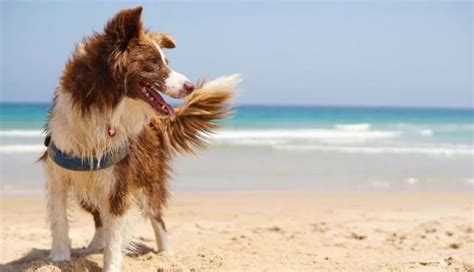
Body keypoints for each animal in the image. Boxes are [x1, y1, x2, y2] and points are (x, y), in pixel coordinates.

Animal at [41, 6, 237, 272]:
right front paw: (59, 258)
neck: (104, 103)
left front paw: (112, 265)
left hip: (148, 179)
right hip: (87, 188)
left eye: (166, 62)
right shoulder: (59, 175)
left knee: (157, 217)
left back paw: (166, 253)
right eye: (153, 63)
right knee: (99, 218)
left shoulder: (119, 180)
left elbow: (116, 234)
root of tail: (155, 122)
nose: (190, 86)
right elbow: (60, 219)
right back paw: (94, 246)